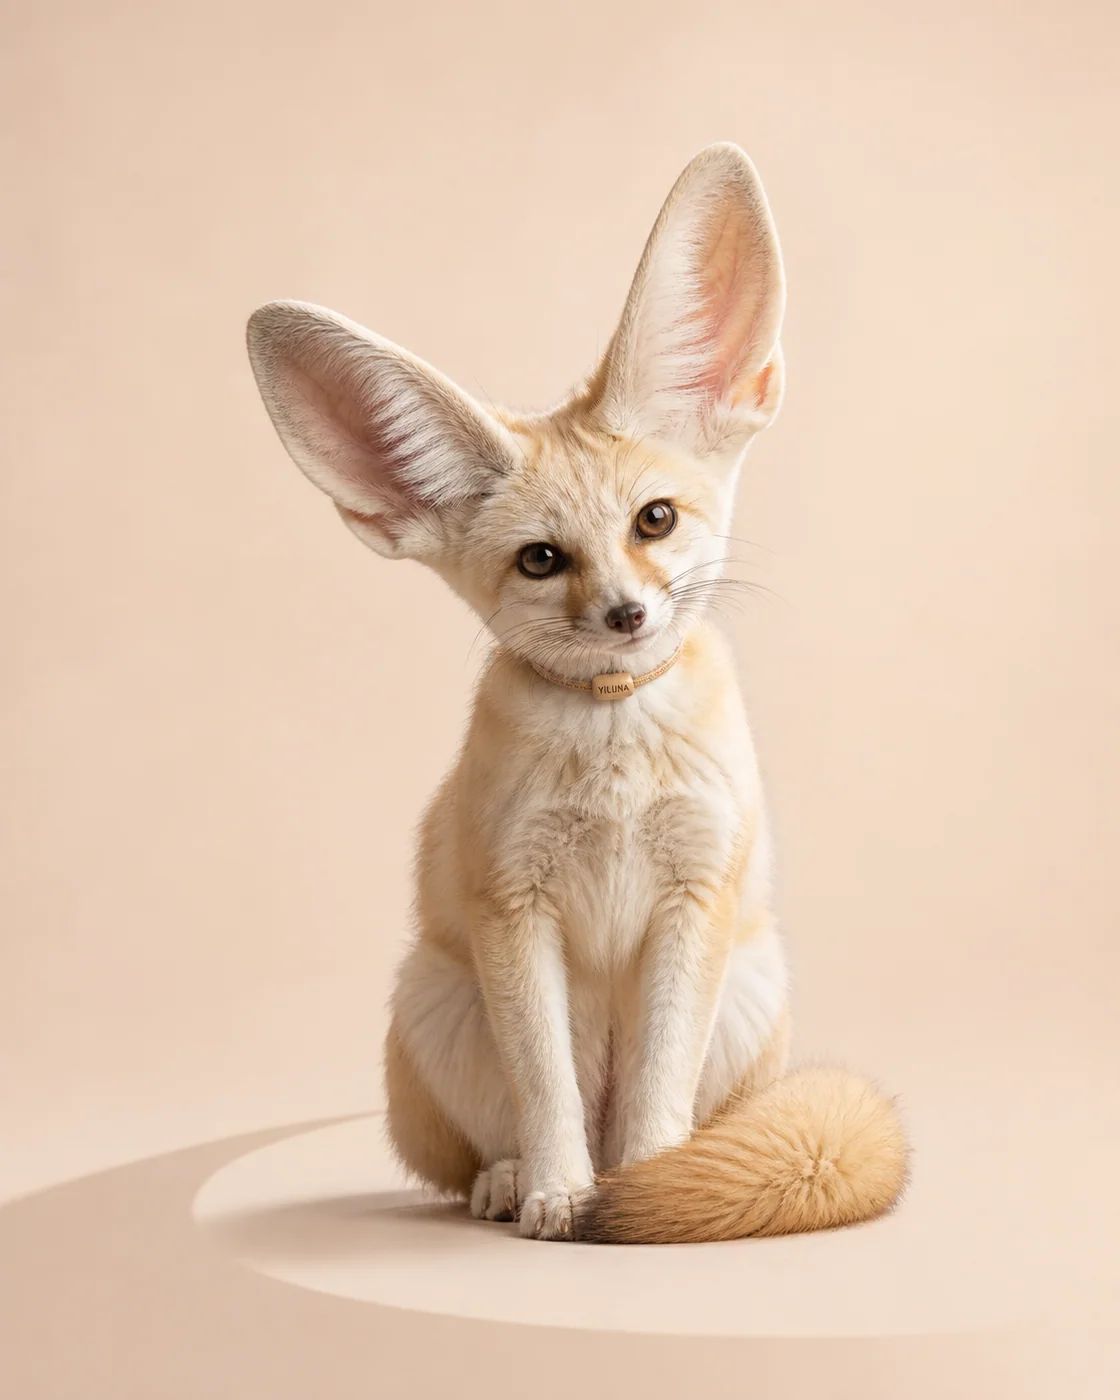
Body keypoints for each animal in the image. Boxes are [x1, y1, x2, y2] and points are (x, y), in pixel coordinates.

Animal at [245, 143, 909, 1243]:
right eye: (542, 560)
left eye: (654, 520)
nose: (627, 615)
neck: (616, 755)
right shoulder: (512, 906)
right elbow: (545, 1084)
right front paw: (559, 1190)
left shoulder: (695, 896)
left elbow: (657, 1089)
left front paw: (654, 1186)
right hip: (433, 994)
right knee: (494, 1139)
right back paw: (514, 1179)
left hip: (751, 982)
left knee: (680, 1115)